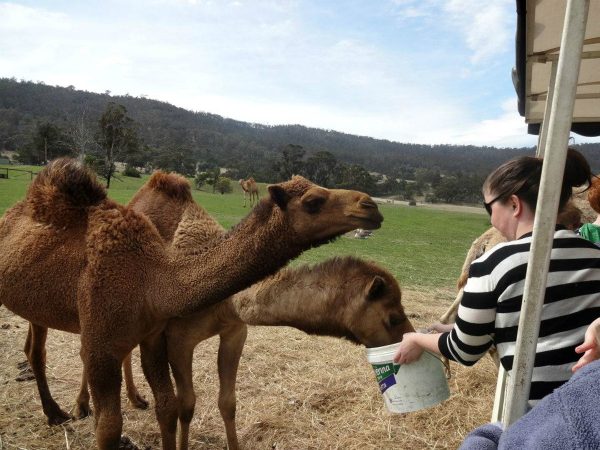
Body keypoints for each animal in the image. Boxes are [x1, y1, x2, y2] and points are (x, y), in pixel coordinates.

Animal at [0, 159, 384, 450]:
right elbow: (119, 425)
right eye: (313, 201)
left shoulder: (174, 334)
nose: (371, 206)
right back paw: (63, 410)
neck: (153, 278)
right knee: (40, 351)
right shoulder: (146, 338)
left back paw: (116, 401)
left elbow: (183, 405)